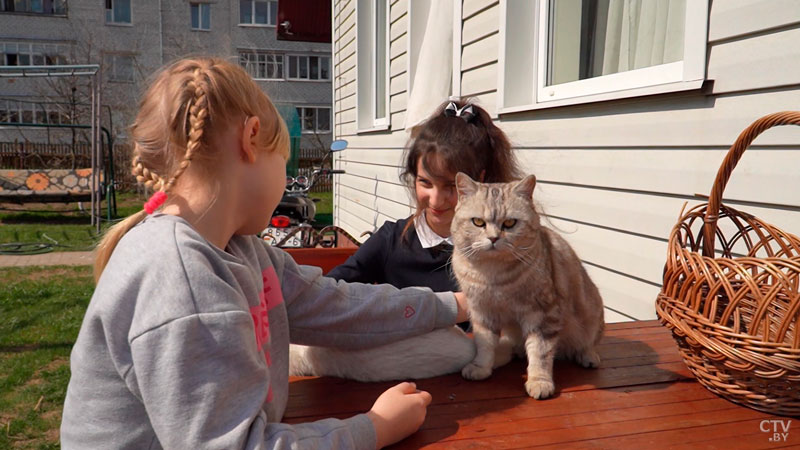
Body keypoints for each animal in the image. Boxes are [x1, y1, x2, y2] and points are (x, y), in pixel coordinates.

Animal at [454, 172, 604, 398]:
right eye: (478, 222)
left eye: (509, 223)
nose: (493, 238)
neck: (493, 275)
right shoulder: (482, 312)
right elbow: (484, 344)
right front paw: (481, 367)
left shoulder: (543, 314)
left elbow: (540, 352)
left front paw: (539, 381)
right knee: (513, 348)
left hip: (592, 314)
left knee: (587, 343)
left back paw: (588, 356)